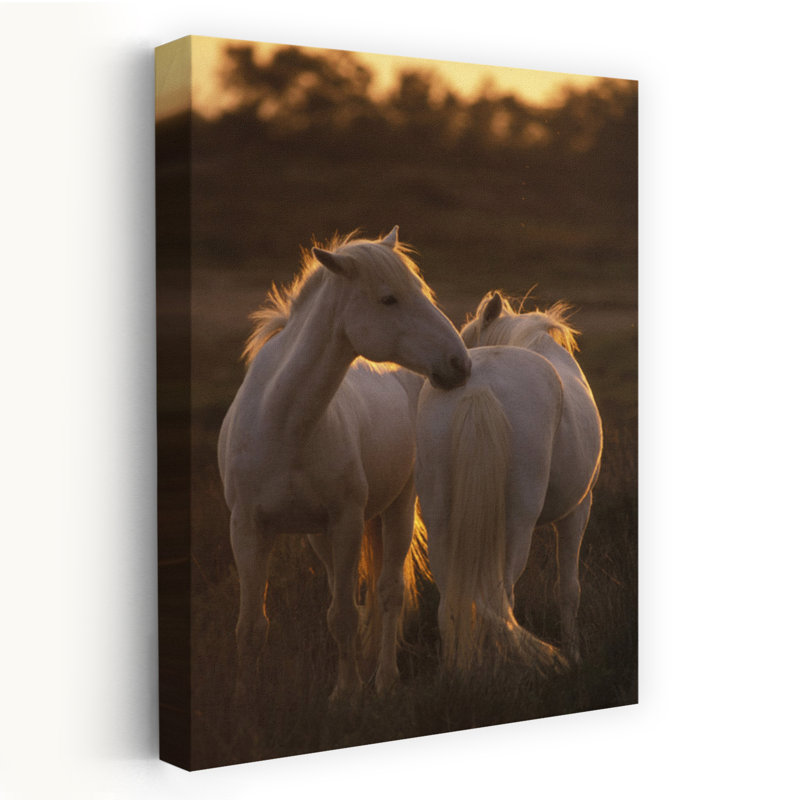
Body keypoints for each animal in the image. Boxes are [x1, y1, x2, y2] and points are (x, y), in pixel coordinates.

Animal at [217, 228, 471, 702]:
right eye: (389, 299)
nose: (459, 364)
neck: (282, 425)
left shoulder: (347, 521)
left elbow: (345, 616)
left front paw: (347, 694)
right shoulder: (248, 528)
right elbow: (250, 626)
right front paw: (243, 698)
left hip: (397, 509)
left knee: (388, 592)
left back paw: (385, 677)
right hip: (321, 536)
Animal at [414, 290, 602, 674]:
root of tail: (479, 387)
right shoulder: (578, 510)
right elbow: (569, 590)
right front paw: (573, 654)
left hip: (438, 517)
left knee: (451, 599)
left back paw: (456, 671)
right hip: (517, 522)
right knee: (502, 600)